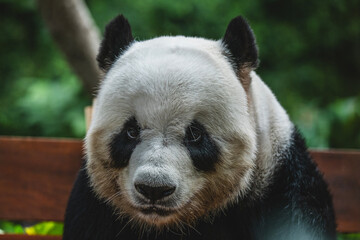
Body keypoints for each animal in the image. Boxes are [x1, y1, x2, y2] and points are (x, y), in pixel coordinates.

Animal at [63, 15, 336, 240]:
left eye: (195, 134)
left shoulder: (282, 186)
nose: (154, 188)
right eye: (131, 131)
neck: (171, 225)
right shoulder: (96, 207)